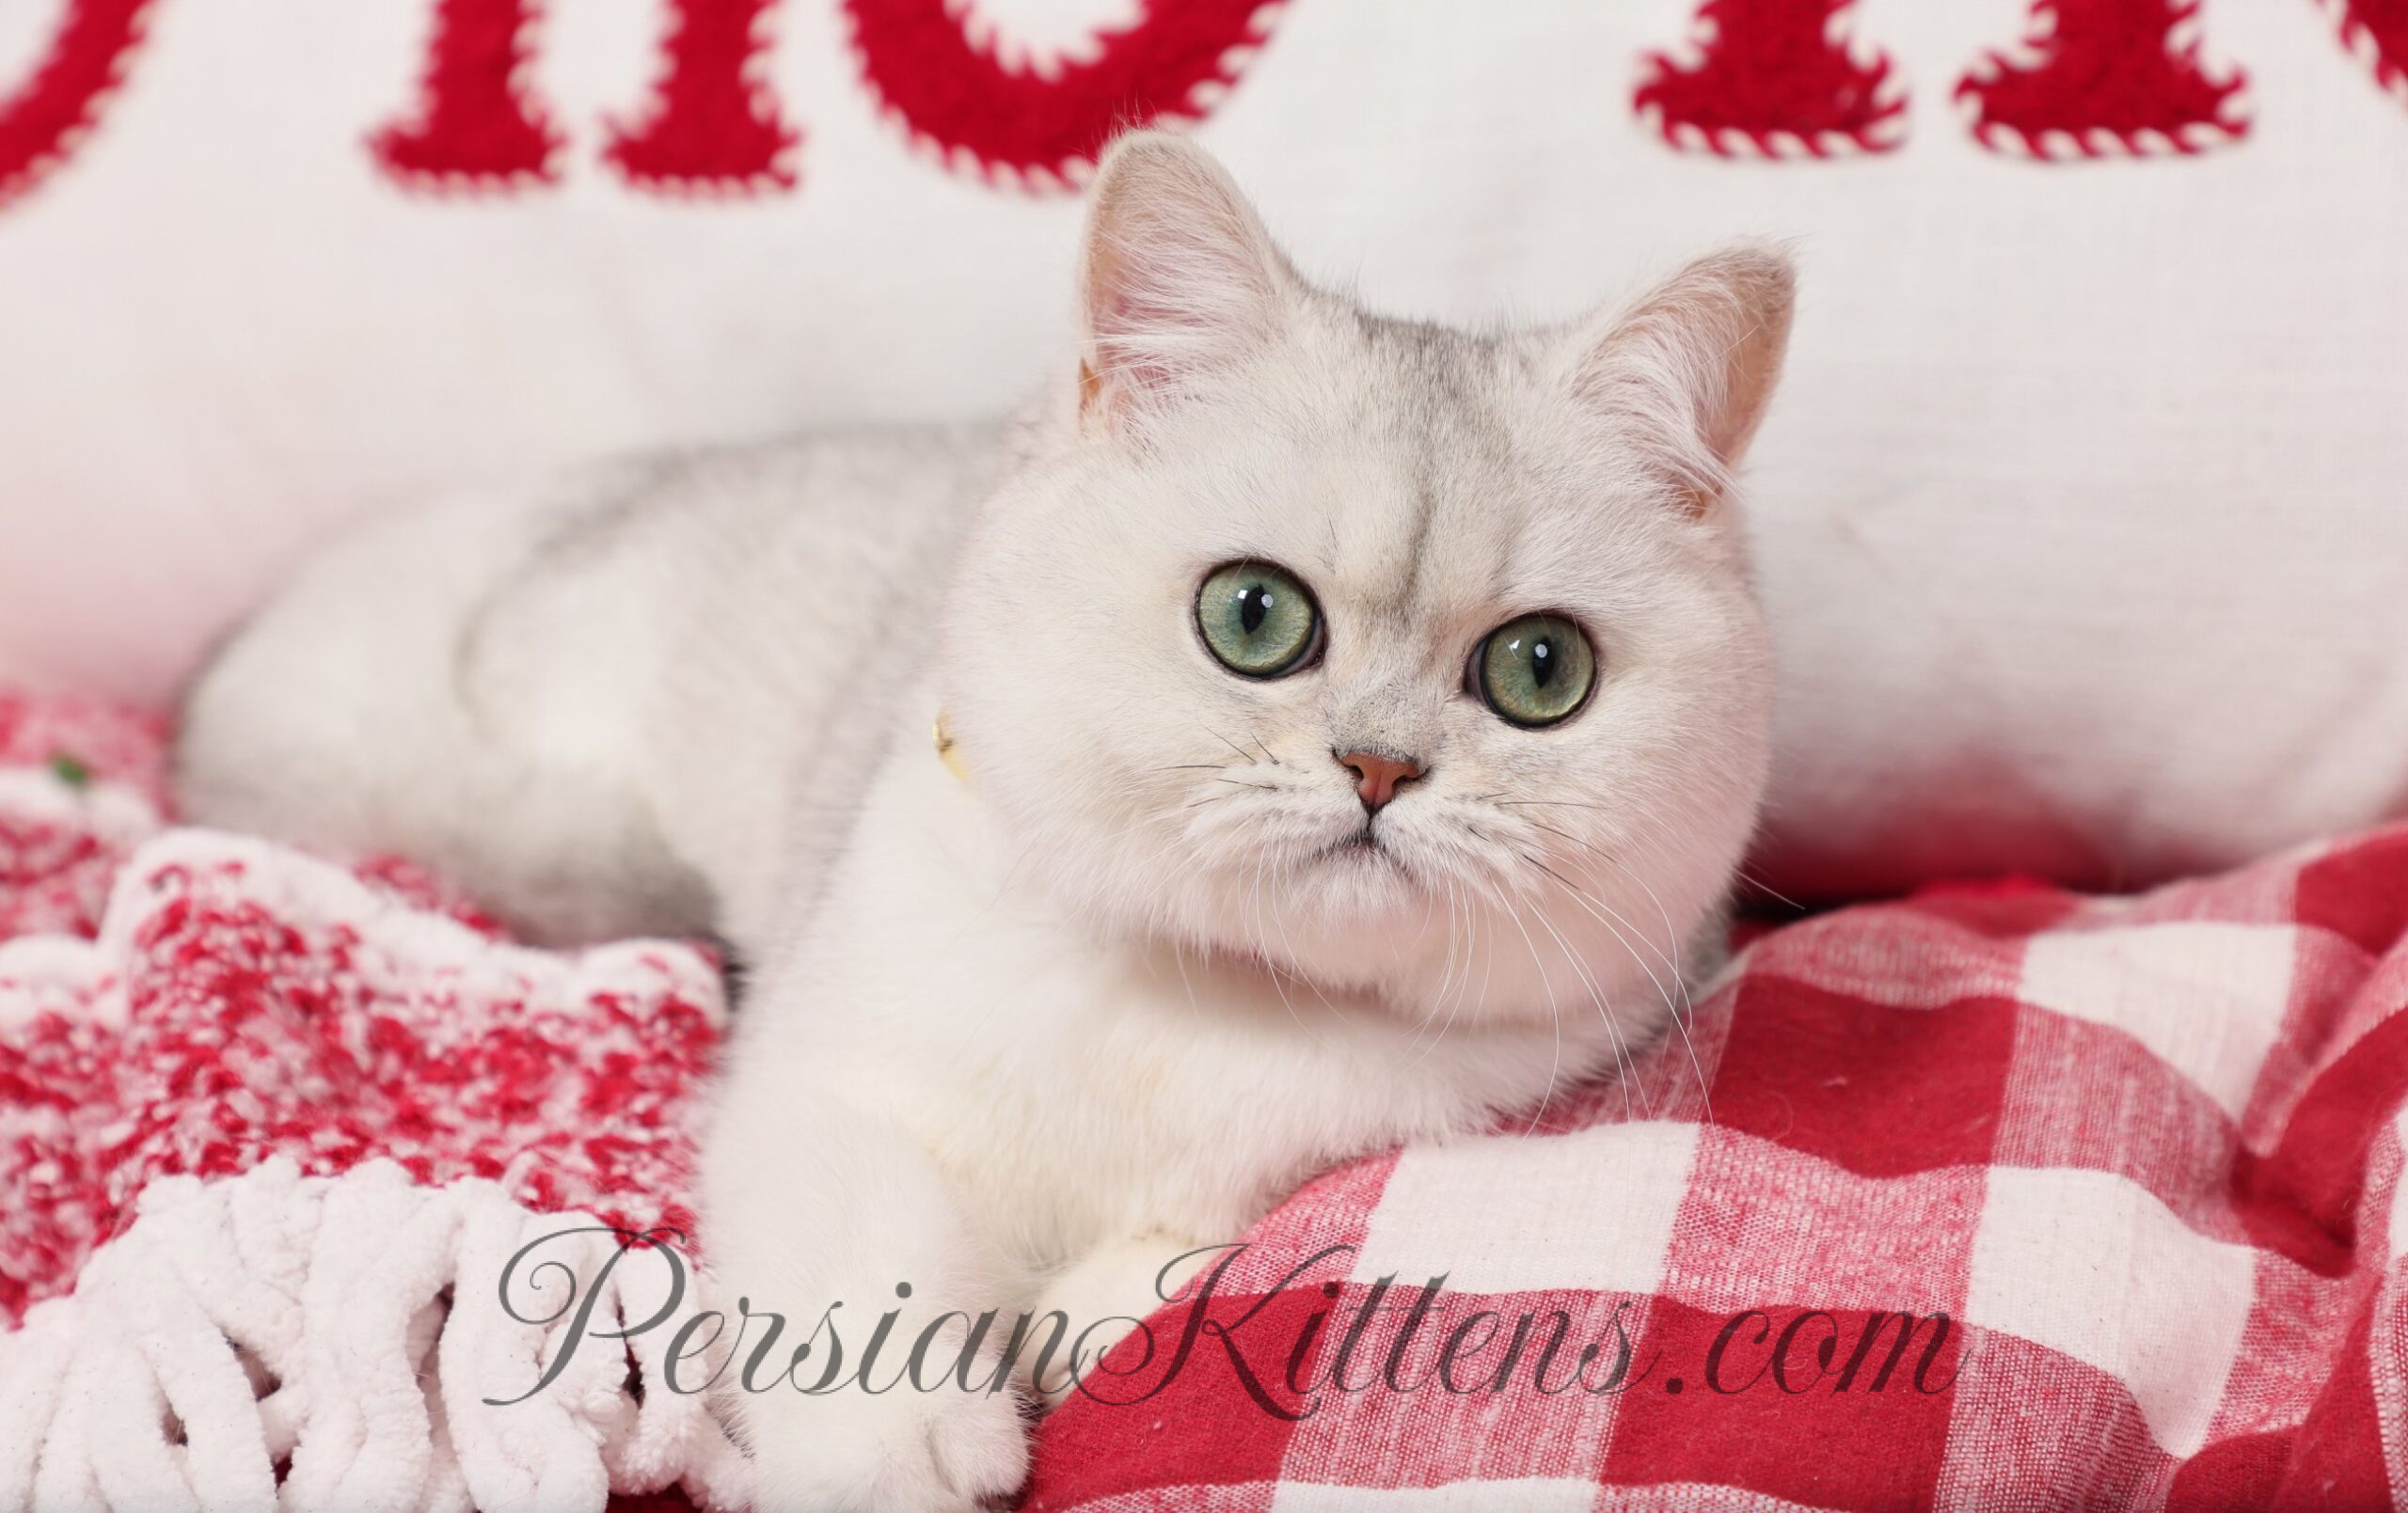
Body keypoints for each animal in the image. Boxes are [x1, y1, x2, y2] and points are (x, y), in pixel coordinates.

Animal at [175, 134, 1794, 1511]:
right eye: (1254, 619)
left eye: (1540, 672)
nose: (1380, 768)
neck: (1208, 1000)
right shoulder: (827, 1085)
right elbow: (861, 1267)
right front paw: (897, 1444)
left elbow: (1211, 1232)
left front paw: (1093, 1303)